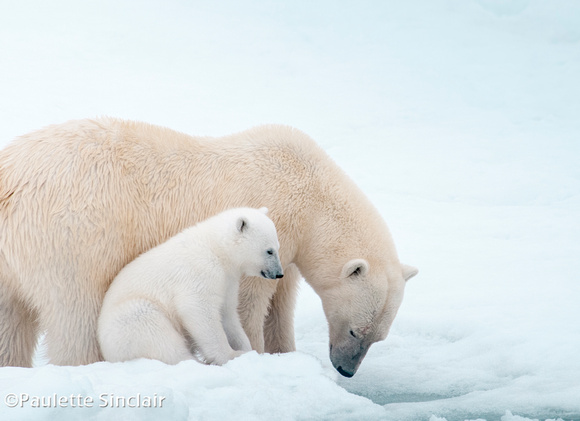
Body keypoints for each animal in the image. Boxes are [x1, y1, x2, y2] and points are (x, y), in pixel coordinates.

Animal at [98, 207, 284, 364]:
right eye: (269, 251)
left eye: (278, 247)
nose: (279, 274)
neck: (216, 248)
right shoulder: (201, 271)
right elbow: (198, 308)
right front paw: (231, 355)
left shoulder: (228, 281)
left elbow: (227, 313)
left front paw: (247, 349)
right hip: (131, 320)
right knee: (160, 337)